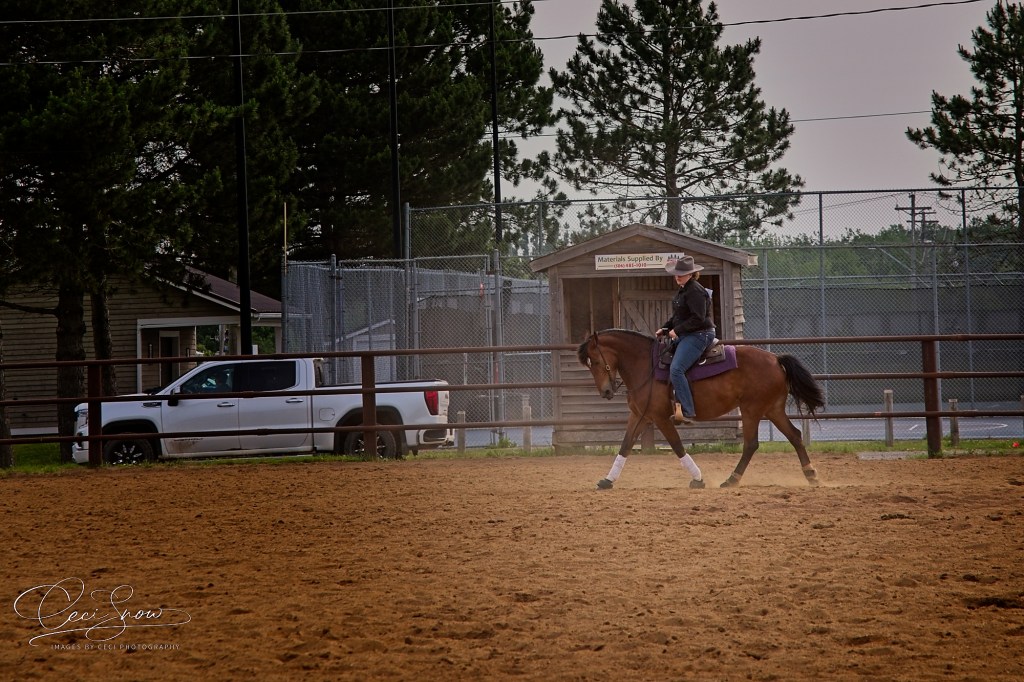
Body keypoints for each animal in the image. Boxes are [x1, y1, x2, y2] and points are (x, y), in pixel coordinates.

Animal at [576, 329, 825, 489]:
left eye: (595, 362)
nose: (606, 392)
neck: (645, 365)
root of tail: (775, 359)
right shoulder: (640, 415)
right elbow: (625, 446)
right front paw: (607, 480)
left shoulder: (661, 418)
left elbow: (677, 446)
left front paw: (698, 479)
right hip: (772, 409)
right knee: (795, 436)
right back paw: (811, 475)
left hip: (752, 409)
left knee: (751, 444)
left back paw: (731, 480)